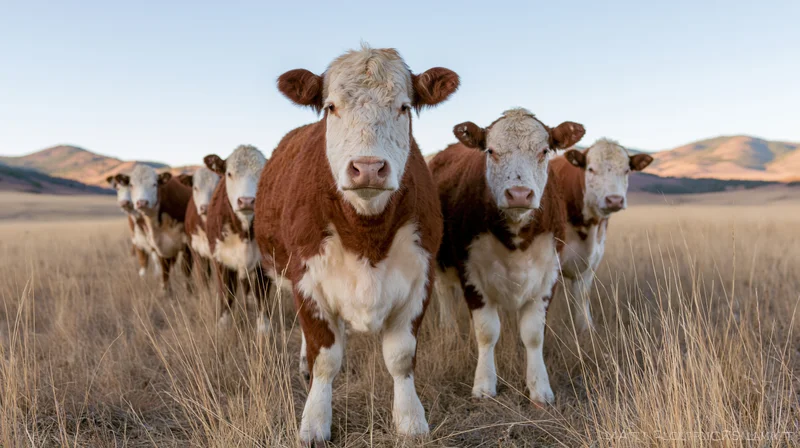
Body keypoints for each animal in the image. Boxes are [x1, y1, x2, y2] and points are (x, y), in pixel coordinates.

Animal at [128, 164, 194, 294]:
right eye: (132, 185)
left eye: (154, 184)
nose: (141, 202)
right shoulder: (160, 247)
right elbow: (165, 271)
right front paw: (165, 291)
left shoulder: (187, 245)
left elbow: (186, 270)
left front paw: (189, 291)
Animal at [204, 146, 270, 333]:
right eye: (229, 173)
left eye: (262, 172)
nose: (247, 201)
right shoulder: (220, 259)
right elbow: (226, 293)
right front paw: (223, 325)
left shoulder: (264, 261)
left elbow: (262, 294)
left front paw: (263, 327)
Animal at [253, 45, 459, 444]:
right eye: (331, 106)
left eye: (404, 107)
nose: (367, 168)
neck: (367, 234)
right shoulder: (306, 280)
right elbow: (325, 357)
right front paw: (314, 422)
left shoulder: (419, 278)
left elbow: (401, 357)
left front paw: (411, 420)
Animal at [429, 108, 585, 404]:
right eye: (491, 151)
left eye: (544, 150)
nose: (519, 194)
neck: (516, 235)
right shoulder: (471, 273)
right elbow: (487, 331)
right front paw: (484, 384)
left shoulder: (549, 274)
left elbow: (533, 334)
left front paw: (539, 388)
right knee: (445, 297)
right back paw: (449, 333)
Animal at [550, 139, 653, 332]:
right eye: (590, 169)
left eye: (626, 170)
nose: (614, 200)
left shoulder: (590, 264)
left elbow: (582, 298)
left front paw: (587, 330)